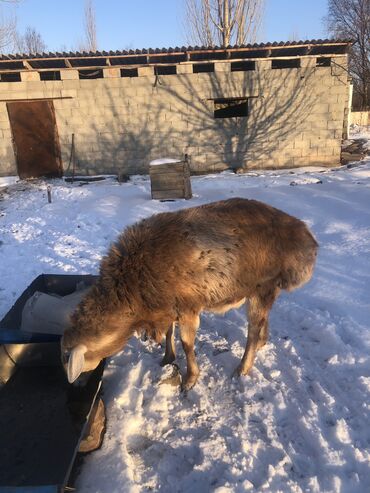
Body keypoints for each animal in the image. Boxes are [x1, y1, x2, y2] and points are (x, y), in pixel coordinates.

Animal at [61, 197, 318, 388]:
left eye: (69, 361)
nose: (75, 384)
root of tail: (309, 241)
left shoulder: (188, 304)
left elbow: (186, 342)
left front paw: (190, 378)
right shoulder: (168, 304)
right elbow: (169, 333)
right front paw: (167, 358)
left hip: (263, 285)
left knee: (253, 329)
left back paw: (242, 367)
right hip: (265, 289)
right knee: (264, 319)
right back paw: (263, 342)